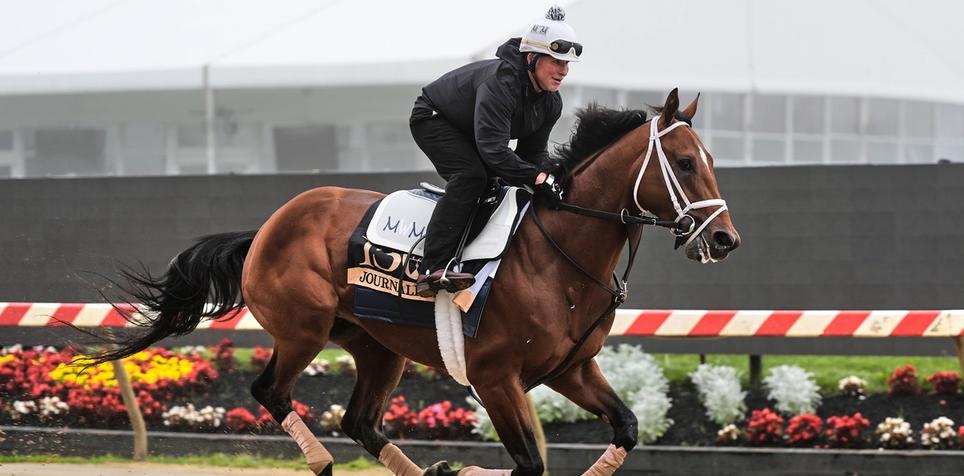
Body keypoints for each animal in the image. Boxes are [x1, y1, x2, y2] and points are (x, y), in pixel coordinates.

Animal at [84, 89, 739, 476]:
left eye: (711, 160)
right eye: (685, 163)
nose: (724, 239)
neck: (558, 259)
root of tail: (268, 226)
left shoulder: (570, 369)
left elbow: (625, 428)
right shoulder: (494, 377)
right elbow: (528, 464)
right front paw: (468, 469)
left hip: (377, 347)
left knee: (359, 422)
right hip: (303, 330)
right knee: (270, 391)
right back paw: (323, 461)